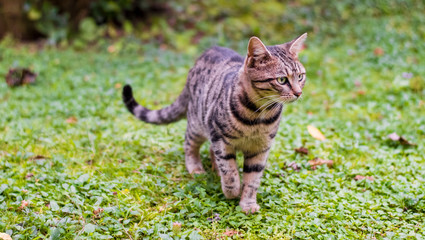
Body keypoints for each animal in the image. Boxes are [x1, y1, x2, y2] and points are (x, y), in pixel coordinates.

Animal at [121, 32, 306, 213]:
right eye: (282, 80)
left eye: (300, 77)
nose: (298, 93)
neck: (258, 115)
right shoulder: (219, 136)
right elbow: (229, 170)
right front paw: (232, 191)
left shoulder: (261, 148)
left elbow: (252, 179)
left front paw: (247, 203)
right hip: (197, 124)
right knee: (189, 145)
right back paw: (197, 169)